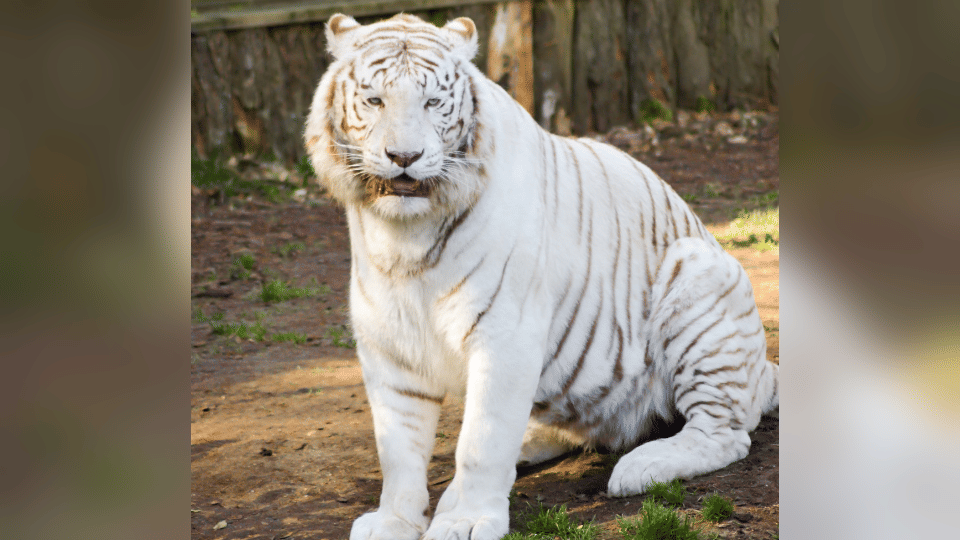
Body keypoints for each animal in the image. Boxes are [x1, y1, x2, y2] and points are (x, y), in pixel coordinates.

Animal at [304, 13, 779, 540]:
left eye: (432, 103)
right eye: (375, 101)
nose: (404, 157)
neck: (403, 237)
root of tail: (764, 371)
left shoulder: (505, 334)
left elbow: (481, 441)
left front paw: (466, 519)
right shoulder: (388, 344)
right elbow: (397, 449)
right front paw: (394, 520)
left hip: (702, 279)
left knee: (724, 433)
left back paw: (642, 466)